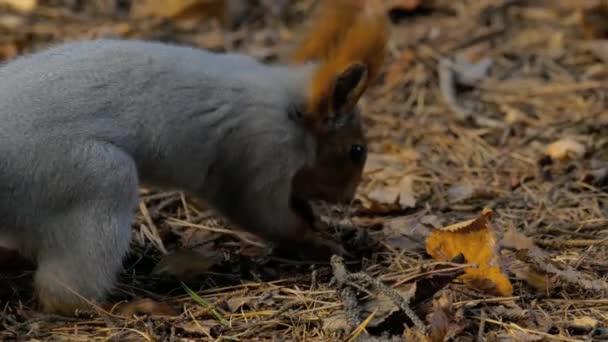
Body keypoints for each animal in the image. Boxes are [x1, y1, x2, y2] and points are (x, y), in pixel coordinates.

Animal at [0, 0, 390, 316]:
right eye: (356, 151)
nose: (348, 198)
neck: (290, 108)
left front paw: (313, 218)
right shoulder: (260, 152)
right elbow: (262, 213)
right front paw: (317, 241)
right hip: (89, 175)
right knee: (61, 293)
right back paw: (122, 307)